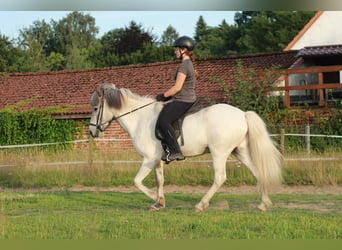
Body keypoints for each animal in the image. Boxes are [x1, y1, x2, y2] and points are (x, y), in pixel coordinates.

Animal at [89, 83, 282, 212]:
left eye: (96, 108)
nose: (91, 131)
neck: (140, 119)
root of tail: (242, 114)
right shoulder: (157, 160)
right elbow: (159, 181)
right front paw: (158, 202)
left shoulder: (149, 159)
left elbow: (137, 181)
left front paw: (156, 200)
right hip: (239, 151)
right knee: (258, 172)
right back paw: (263, 204)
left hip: (219, 152)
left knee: (220, 178)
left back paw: (200, 205)